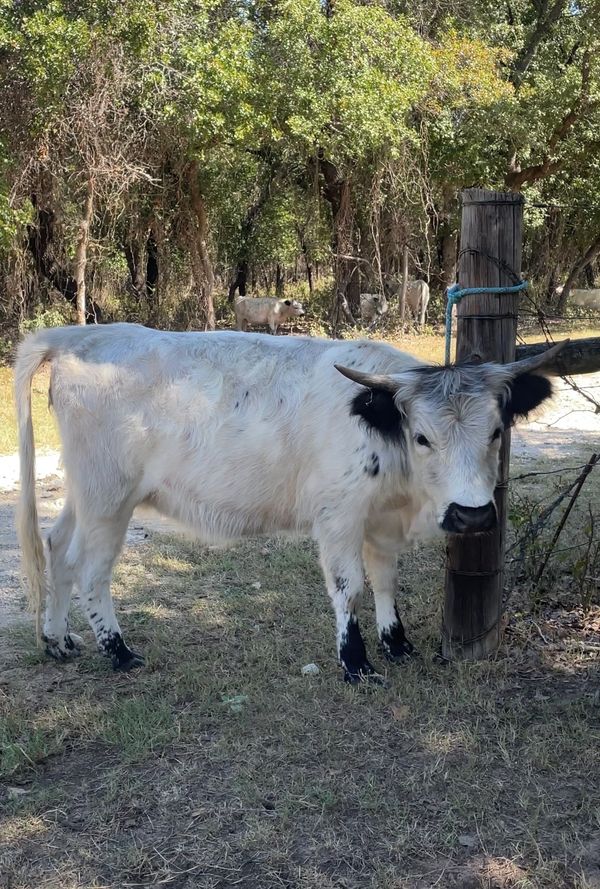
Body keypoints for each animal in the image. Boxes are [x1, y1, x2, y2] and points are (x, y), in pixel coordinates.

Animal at [15, 324, 564, 683]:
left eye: (496, 431)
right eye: (423, 437)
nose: (472, 514)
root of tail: (79, 336)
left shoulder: (381, 520)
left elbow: (386, 580)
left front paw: (397, 643)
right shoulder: (338, 515)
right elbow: (349, 586)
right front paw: (355, 662)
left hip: (86, 494)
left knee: (58, 548)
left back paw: (58, 640)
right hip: (109, 498)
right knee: (91, 570)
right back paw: (119, 651)